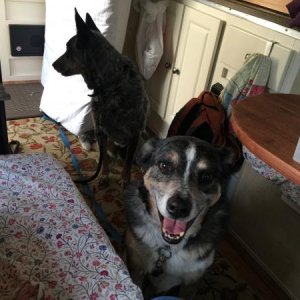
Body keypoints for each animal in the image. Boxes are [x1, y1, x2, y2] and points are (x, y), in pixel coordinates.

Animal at [53, 8, 149, 185]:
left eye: (68, 49)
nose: (53, 64)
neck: (110, 83)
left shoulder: (134, 134)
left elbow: (128, 163)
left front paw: (125, 180)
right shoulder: (101, 131)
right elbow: (104, 160)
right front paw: (103, 176)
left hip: (142, 141)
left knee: (133, 160)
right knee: (110, 157)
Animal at [124, 136, 234, 298]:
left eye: (206, 176)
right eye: (164, 165)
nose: (178, 208)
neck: (169, 246)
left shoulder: (191, 281)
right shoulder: (137, 269)